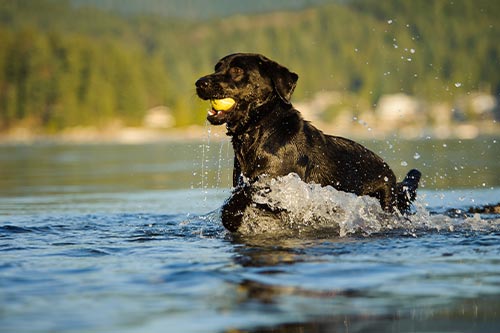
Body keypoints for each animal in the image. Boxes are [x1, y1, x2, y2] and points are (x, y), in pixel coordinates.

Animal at [196, 53, 422, 231]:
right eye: (217, 68)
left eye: (236, 70)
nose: (199, 82)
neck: (260, 130)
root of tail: (391, 176)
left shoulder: (278, 183)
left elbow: (247, 193)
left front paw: (231, 216)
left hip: (387, 201)